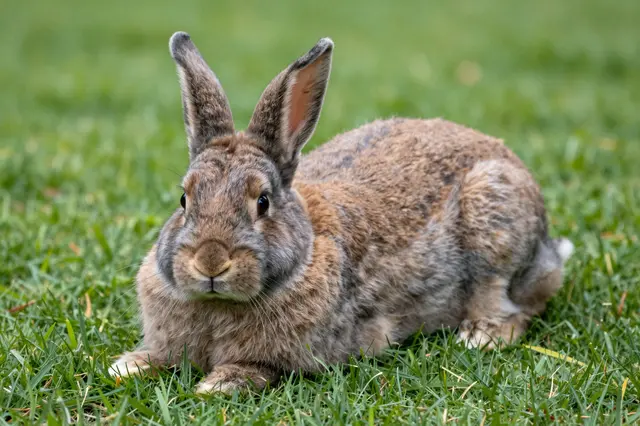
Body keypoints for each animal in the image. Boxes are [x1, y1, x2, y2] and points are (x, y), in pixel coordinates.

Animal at [109, 32, 574, 395]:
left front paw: (219, 384)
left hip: (495, 228)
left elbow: (258, 369)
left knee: (509, 305)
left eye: (263, 202)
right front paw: (128, 365)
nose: (210, 262)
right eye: (184, 200)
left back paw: (479, 337)